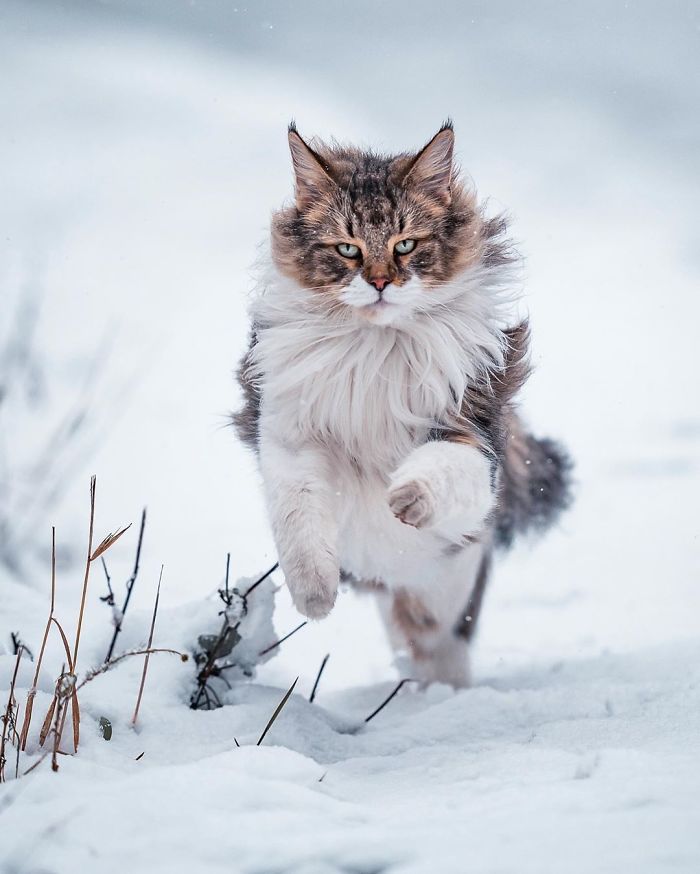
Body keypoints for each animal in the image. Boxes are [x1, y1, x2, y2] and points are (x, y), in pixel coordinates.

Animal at [232, 119, 572, 684]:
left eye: (406, 243)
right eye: (347, 249)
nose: (380, 282)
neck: (374, 350)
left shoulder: (470, 429)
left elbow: (441, 468)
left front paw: (407, 498)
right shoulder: (289, 433)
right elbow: (299, 517)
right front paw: (315, 595)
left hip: (449, 598)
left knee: (438, 647)